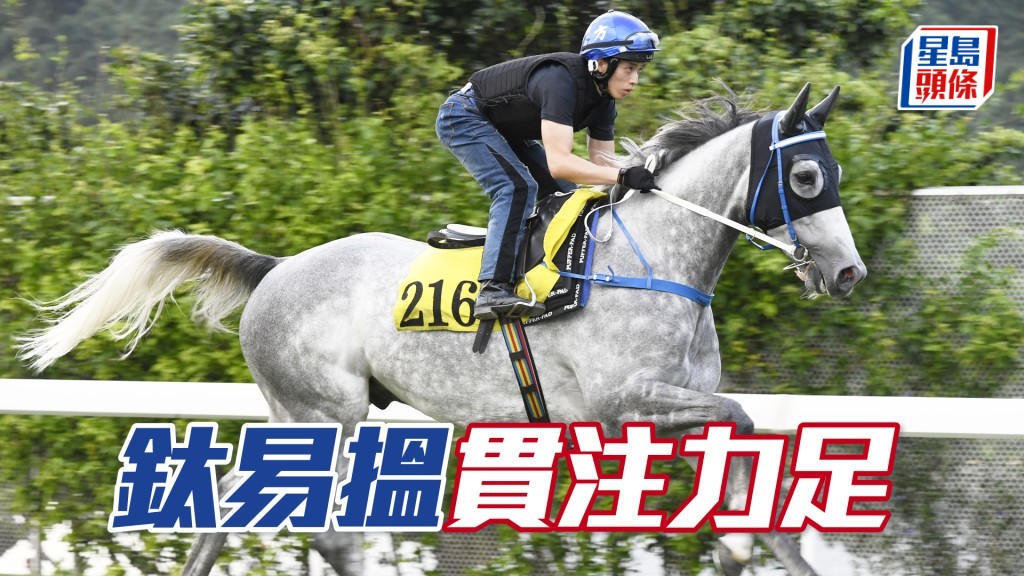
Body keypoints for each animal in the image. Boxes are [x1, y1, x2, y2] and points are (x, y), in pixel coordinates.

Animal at [19, 83, 865, 576]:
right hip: (326, 410)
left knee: (231, 501)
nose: (848, 273)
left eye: (834, 175)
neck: (651, 258)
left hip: (306, 415)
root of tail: (276, 269)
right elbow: (741, 418)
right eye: (805, 177)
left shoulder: (668, 410)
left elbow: (747, 455)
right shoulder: (626, 404)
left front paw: (752, 546)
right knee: (322, 527)